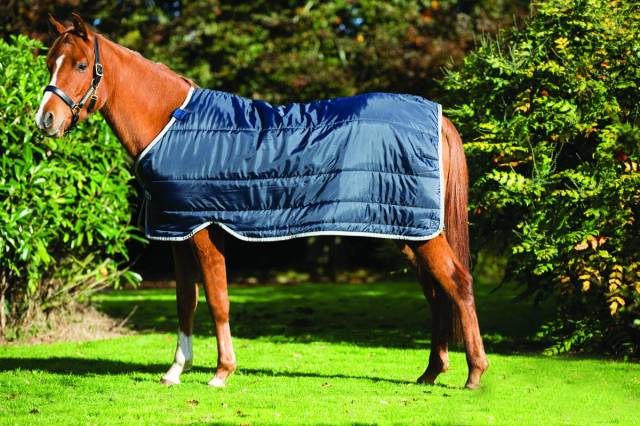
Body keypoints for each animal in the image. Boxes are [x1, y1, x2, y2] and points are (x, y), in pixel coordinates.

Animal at [35, 13, 488, 389]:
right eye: (50, 63)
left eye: (80, 65)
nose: (46, 120)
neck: (171, 123)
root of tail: (438, 117)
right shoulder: (177, 230)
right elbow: (186, 302)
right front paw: (175, 370)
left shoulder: (204, 229)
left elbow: (217, 299)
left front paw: (222, 372)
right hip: (407, 230)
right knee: (437, 293)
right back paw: (431, 372)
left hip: (421, 232)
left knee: (459, 284)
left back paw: (473, 375)